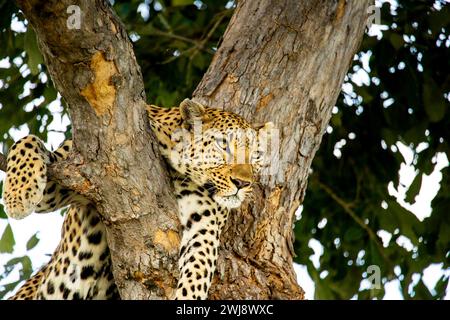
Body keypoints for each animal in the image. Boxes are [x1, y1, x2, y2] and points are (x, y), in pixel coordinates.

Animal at [1, 99, 272, 300]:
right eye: (222, 145)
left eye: (256, 156)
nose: (243, 183)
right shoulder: (71, 174)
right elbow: (27, 141)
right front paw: (18, 196)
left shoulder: (204, 224)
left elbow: (198, 267)